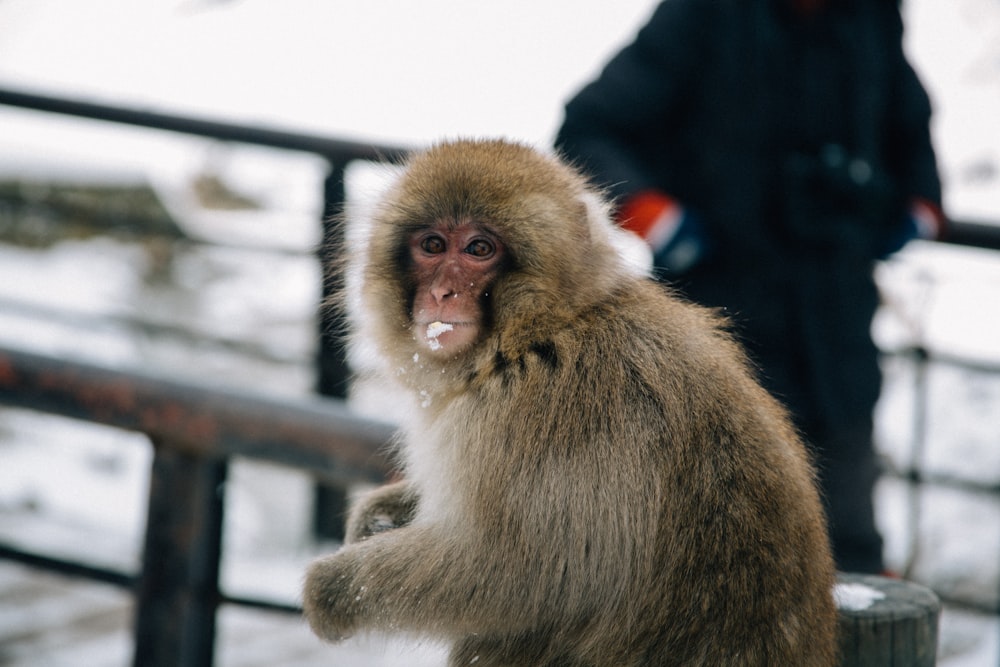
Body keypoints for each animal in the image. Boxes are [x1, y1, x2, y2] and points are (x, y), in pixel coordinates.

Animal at [302, 138, 836, 664]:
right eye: (432, 245)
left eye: (479, 249)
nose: (442, 292)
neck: (540, 332)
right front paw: (375, 515)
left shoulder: (551, 410)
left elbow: (526, 570)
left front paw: (334, 590)